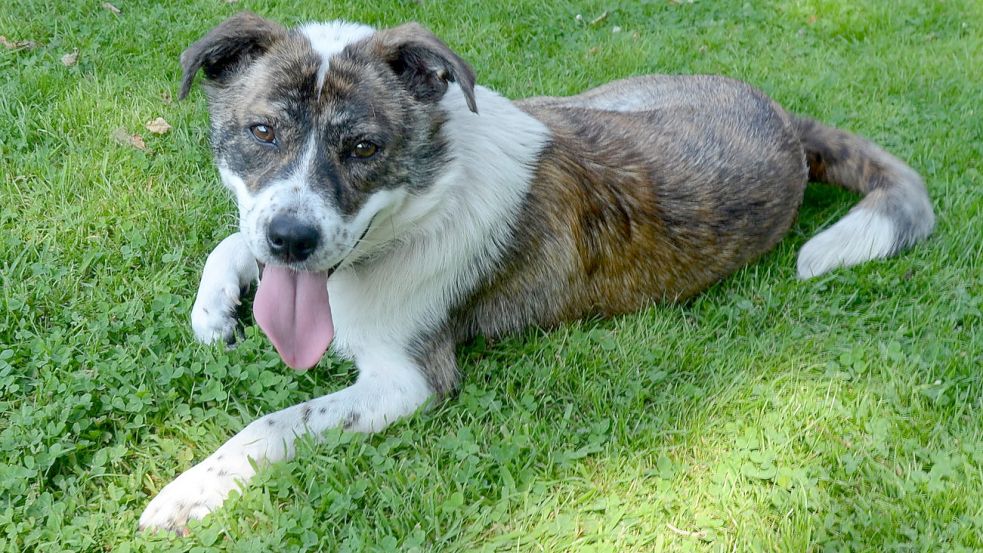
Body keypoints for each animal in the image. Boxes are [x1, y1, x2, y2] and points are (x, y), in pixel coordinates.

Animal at [136, 11, 932, 532]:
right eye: (262, 131)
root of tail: (786, 122)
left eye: (363, 148)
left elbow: (276, 420)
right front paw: (214, 309)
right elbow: (232, 243)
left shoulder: (407, 381)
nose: (293, 240)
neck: (424, 199)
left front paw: (189, 490)